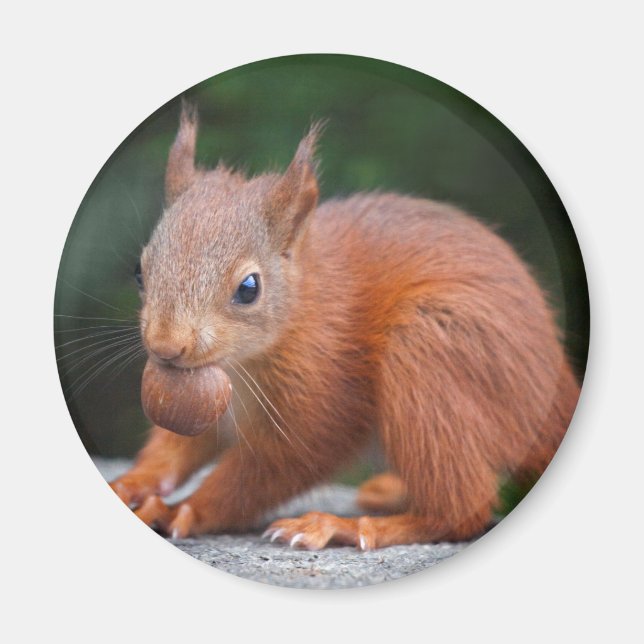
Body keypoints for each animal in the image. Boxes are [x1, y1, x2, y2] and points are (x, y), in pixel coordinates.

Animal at [109, 104, 581, 550]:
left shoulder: (325, 390)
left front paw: (184, 510)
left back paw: (344, 526)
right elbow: (179, 447)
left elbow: (275, 466)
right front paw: (133, 482)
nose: (166, 347)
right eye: (139, 271)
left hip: (431, 350)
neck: (243, 363)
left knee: (461, 509)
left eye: (248, 288)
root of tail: (553, 389)